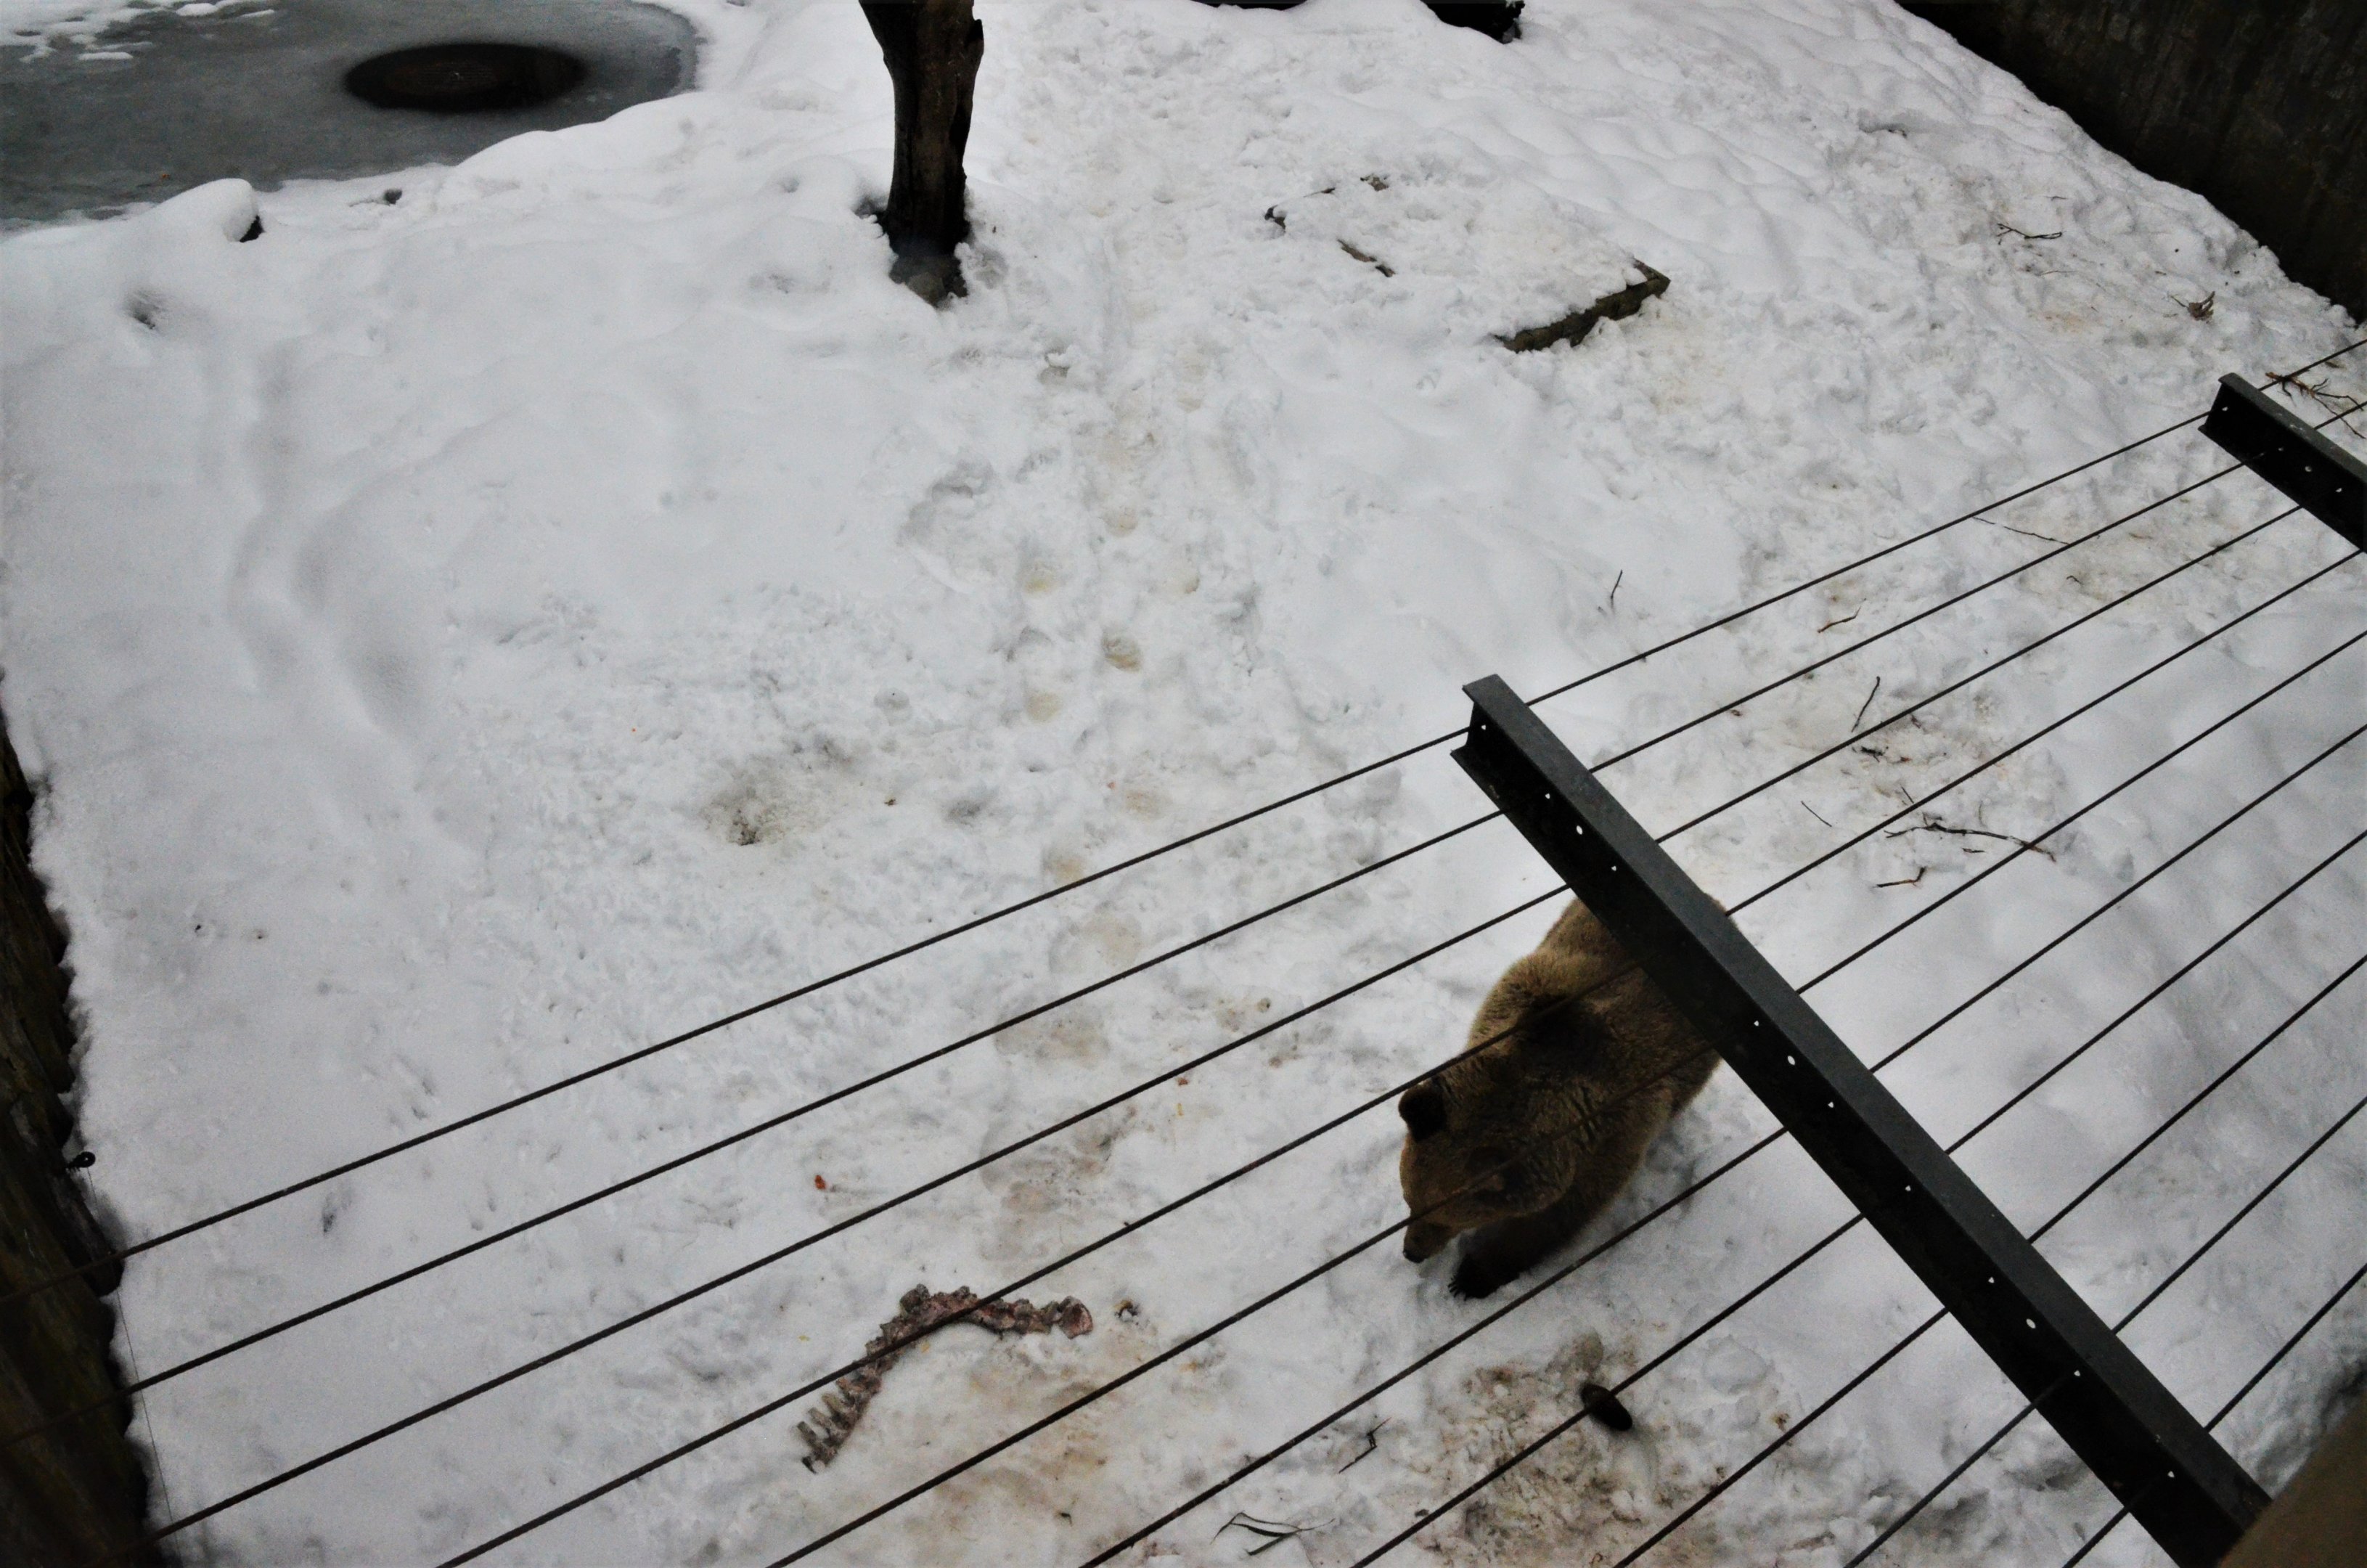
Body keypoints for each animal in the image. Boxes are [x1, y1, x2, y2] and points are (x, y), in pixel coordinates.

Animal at [1398, 897, 1719, 1299]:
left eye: (1445, 1218)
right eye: (1409, 1201)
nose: (1412, 1252)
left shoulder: (1609, 1141)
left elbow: (1553, 1222)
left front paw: (1473, 1276)